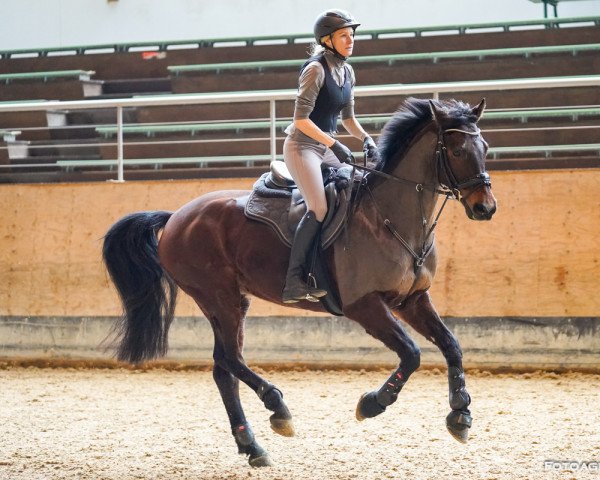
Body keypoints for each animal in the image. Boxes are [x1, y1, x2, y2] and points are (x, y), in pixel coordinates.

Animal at [103, 95, 496, 466]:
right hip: (219, 297)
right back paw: (277, 408)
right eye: (458, 150)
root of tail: (175, 217)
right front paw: (372, 403)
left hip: (229, 301)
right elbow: (412, 354)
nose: (486, 208)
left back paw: (252, 447)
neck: (389, 218)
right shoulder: (364, 305)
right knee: (228, 358)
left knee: (224, 367)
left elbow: (451, 344)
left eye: (486, 148)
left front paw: (460, 413)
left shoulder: (412, 300)